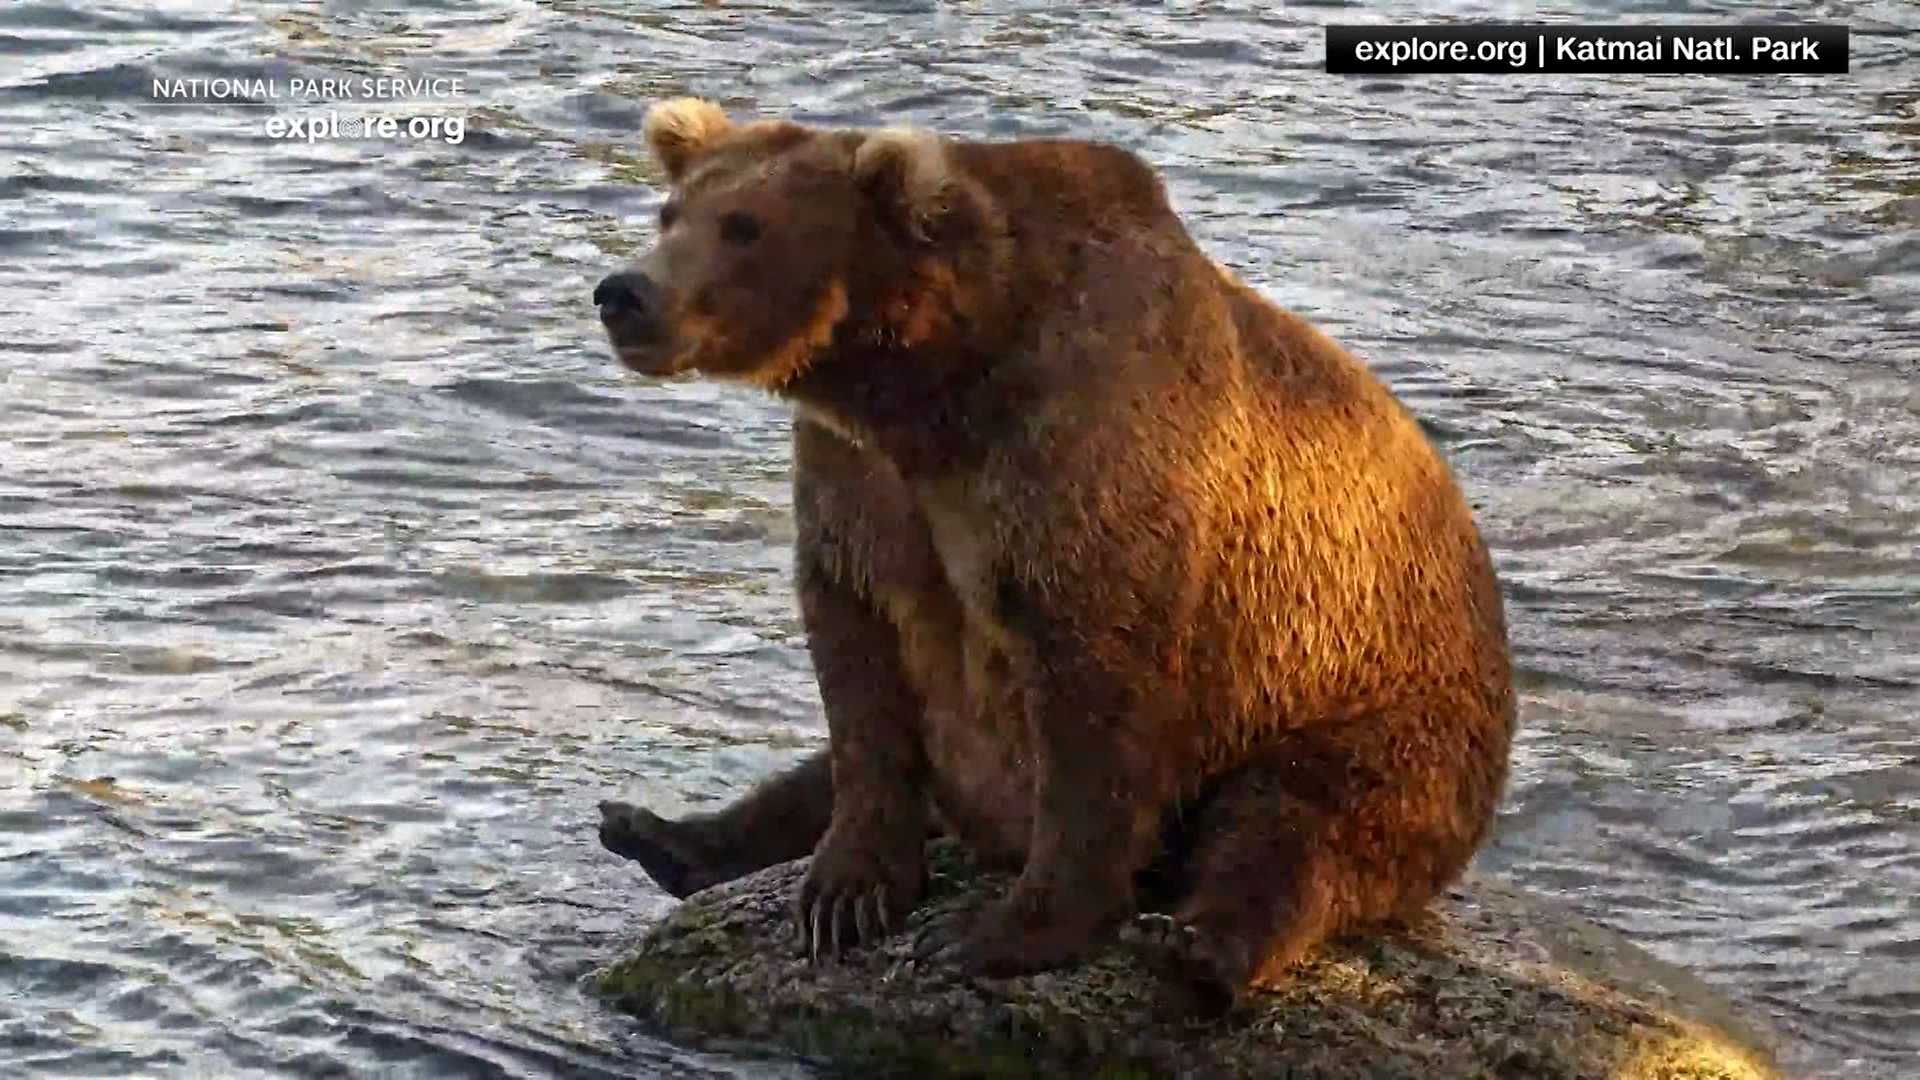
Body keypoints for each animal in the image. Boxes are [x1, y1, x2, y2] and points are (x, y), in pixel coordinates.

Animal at [593, 97, 1517, 1003]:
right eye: (671, 212)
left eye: (744, 226)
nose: (625, 291)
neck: (930, 384)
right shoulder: (858, 480)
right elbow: (859, 669)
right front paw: (845, 892)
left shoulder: (1089, 453)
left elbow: (1094, 698)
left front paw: (1003, 930)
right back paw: (659, 833)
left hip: (1375, 700)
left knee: (1298, 821)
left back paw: (1199, 945)